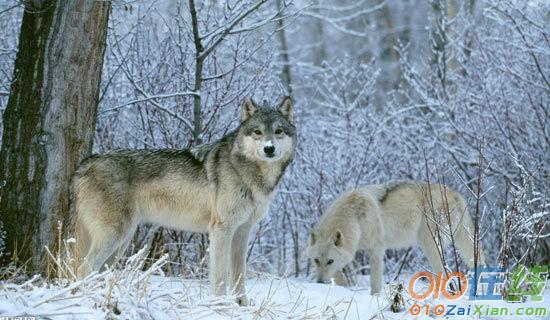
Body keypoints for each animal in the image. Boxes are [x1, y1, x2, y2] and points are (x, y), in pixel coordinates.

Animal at [74, 97, 298, 304]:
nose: (269, 148)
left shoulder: (243, 231)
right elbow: (219, 277)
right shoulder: (221, 230)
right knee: (83, 268)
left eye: (278, 131)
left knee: (97, 271)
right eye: (257, 132)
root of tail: (84, 165)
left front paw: (242, 307)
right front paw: (219, 307)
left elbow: (239, 276)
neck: (249, 173)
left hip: (121, 242)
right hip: (115, 236)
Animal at [310, 181, 488, 294]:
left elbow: (375, 283)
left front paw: (375, 298)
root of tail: (455, 194)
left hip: (428, 244)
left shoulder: (376, 249)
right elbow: (340, 277)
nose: (319, 282)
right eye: (316, 260)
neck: (354, 217)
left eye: (330, 261)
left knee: (442, 273)